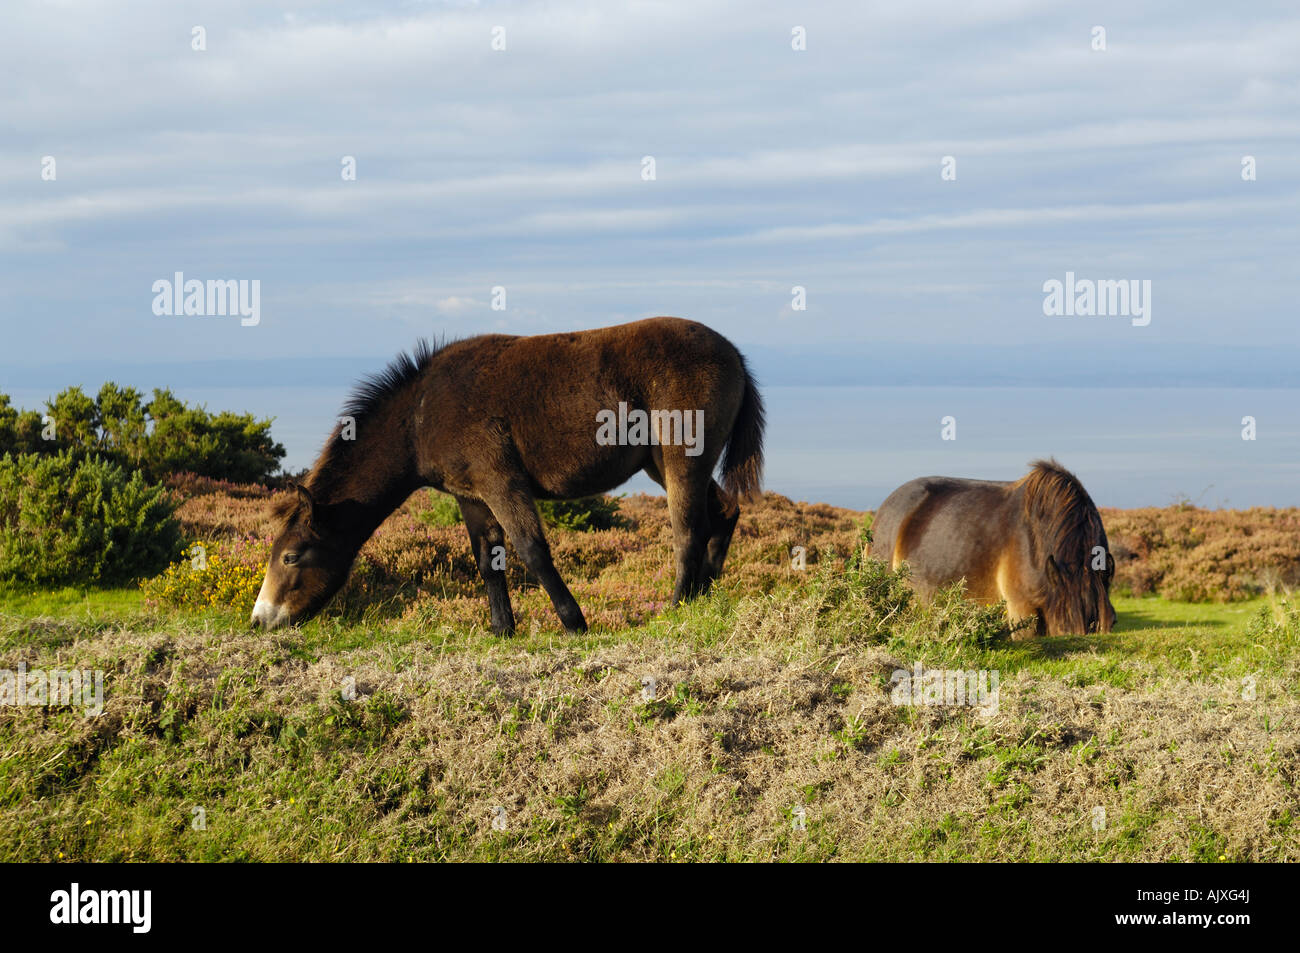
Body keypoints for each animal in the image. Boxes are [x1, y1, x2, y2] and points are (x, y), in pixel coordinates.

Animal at [248, 315, 764, 634]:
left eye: (291, 557)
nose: (259, 619)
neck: (420, 415)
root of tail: (735, 353)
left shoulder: (502, 482)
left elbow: (531, 550)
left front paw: (574, 622)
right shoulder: (471, 495)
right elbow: (487, 559)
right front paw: (501, 628)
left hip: (680, 459)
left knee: (688, 529)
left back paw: (678, 606)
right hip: (659, 464)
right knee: (724, 512)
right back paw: (705, 594)